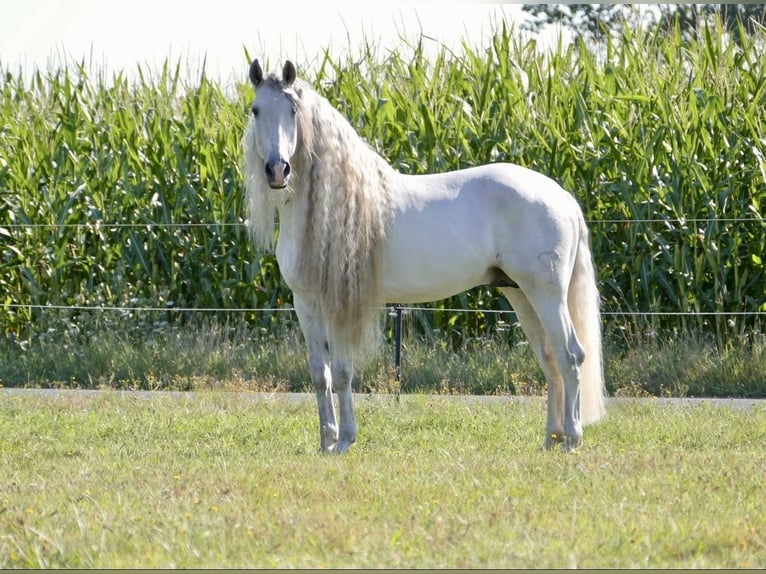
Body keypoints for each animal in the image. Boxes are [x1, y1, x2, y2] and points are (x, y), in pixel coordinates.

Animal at [242, 59, 606, 453]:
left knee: (571, 356)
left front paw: (344, 442)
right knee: (550, 358)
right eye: (255, 110)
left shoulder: (340, 305)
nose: (278, 170)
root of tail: (562, 197)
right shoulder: (306, 305)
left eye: (293, 111)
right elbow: (319, 375)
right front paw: (327, 442)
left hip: (546, 294)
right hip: (520, 293)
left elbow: (341, 373)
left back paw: (571, 439)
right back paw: (551, 438)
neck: (330, 209)